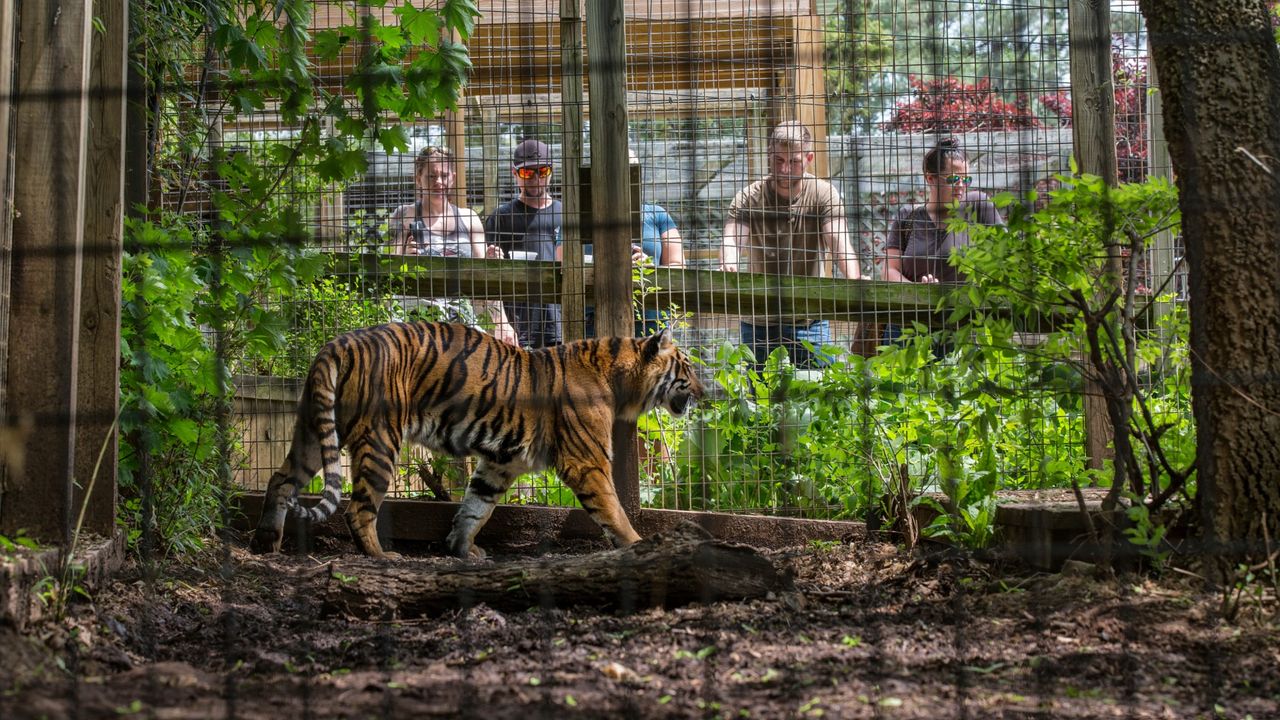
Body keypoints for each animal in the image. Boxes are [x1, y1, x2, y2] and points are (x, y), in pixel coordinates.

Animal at [247, 320, 711, 561]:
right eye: (687, 368)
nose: (707, 393)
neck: (620, 380)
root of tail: (339, 342)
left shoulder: (499, 464)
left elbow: (475, 509)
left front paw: (461, 549)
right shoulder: (587, 462)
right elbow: (613, 510)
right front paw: (638, 546)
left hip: (313, 430)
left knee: (280, 481)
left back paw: (267, 542)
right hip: (380, 440)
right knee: (357, 508)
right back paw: (381, 557)